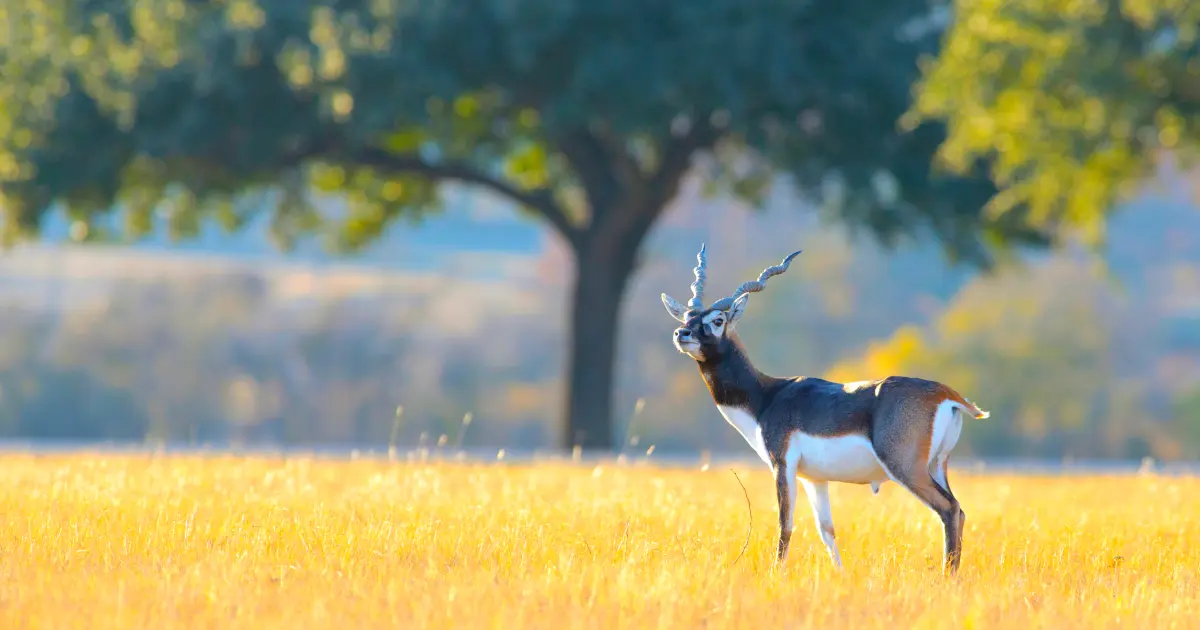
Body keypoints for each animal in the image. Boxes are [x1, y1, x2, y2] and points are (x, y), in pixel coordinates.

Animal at [662, 246, 988, 573]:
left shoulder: (782, 465)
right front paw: (840, 574)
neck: (766, 397)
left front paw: (775, 574)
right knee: (959, 511)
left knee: (949, 509)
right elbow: (826, 529)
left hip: (907, 468)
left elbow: (785, 525)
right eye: (688, 316)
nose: (682, 334)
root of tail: (945, 393)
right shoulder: (814, 478)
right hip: (937, 466)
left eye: (718, 320)